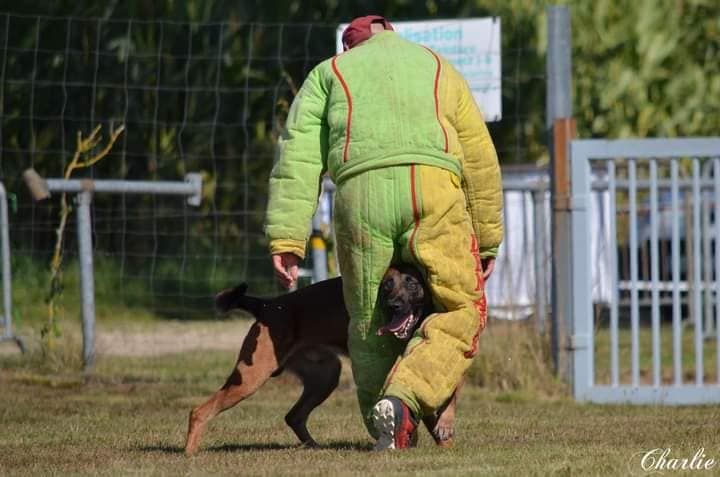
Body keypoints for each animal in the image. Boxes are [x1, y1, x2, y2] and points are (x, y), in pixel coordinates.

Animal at [183, 264, 458, 454]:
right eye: (387, 285)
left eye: (412, 284)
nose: (394, 306)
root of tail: (268, 305)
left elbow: (443, 400)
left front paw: (442, 436)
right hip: (250, 377)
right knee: (199, 411)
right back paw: (190, 453)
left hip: (325, 377)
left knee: (294, 416)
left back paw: (315, 447)